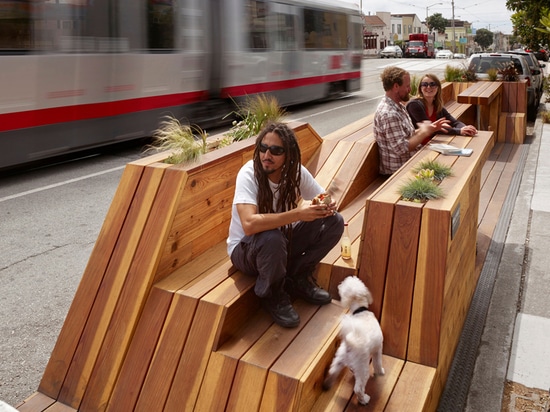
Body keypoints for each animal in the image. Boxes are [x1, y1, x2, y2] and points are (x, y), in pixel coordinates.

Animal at [322, 276, 386, 404]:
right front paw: (380, 372)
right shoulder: (378, 349)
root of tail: (350, 343)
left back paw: (327, 385)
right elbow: (377, 363)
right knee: (358, 388)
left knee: (332, 372)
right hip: (363, 368)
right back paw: (364, 399)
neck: (360, 310)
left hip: (339, 359)